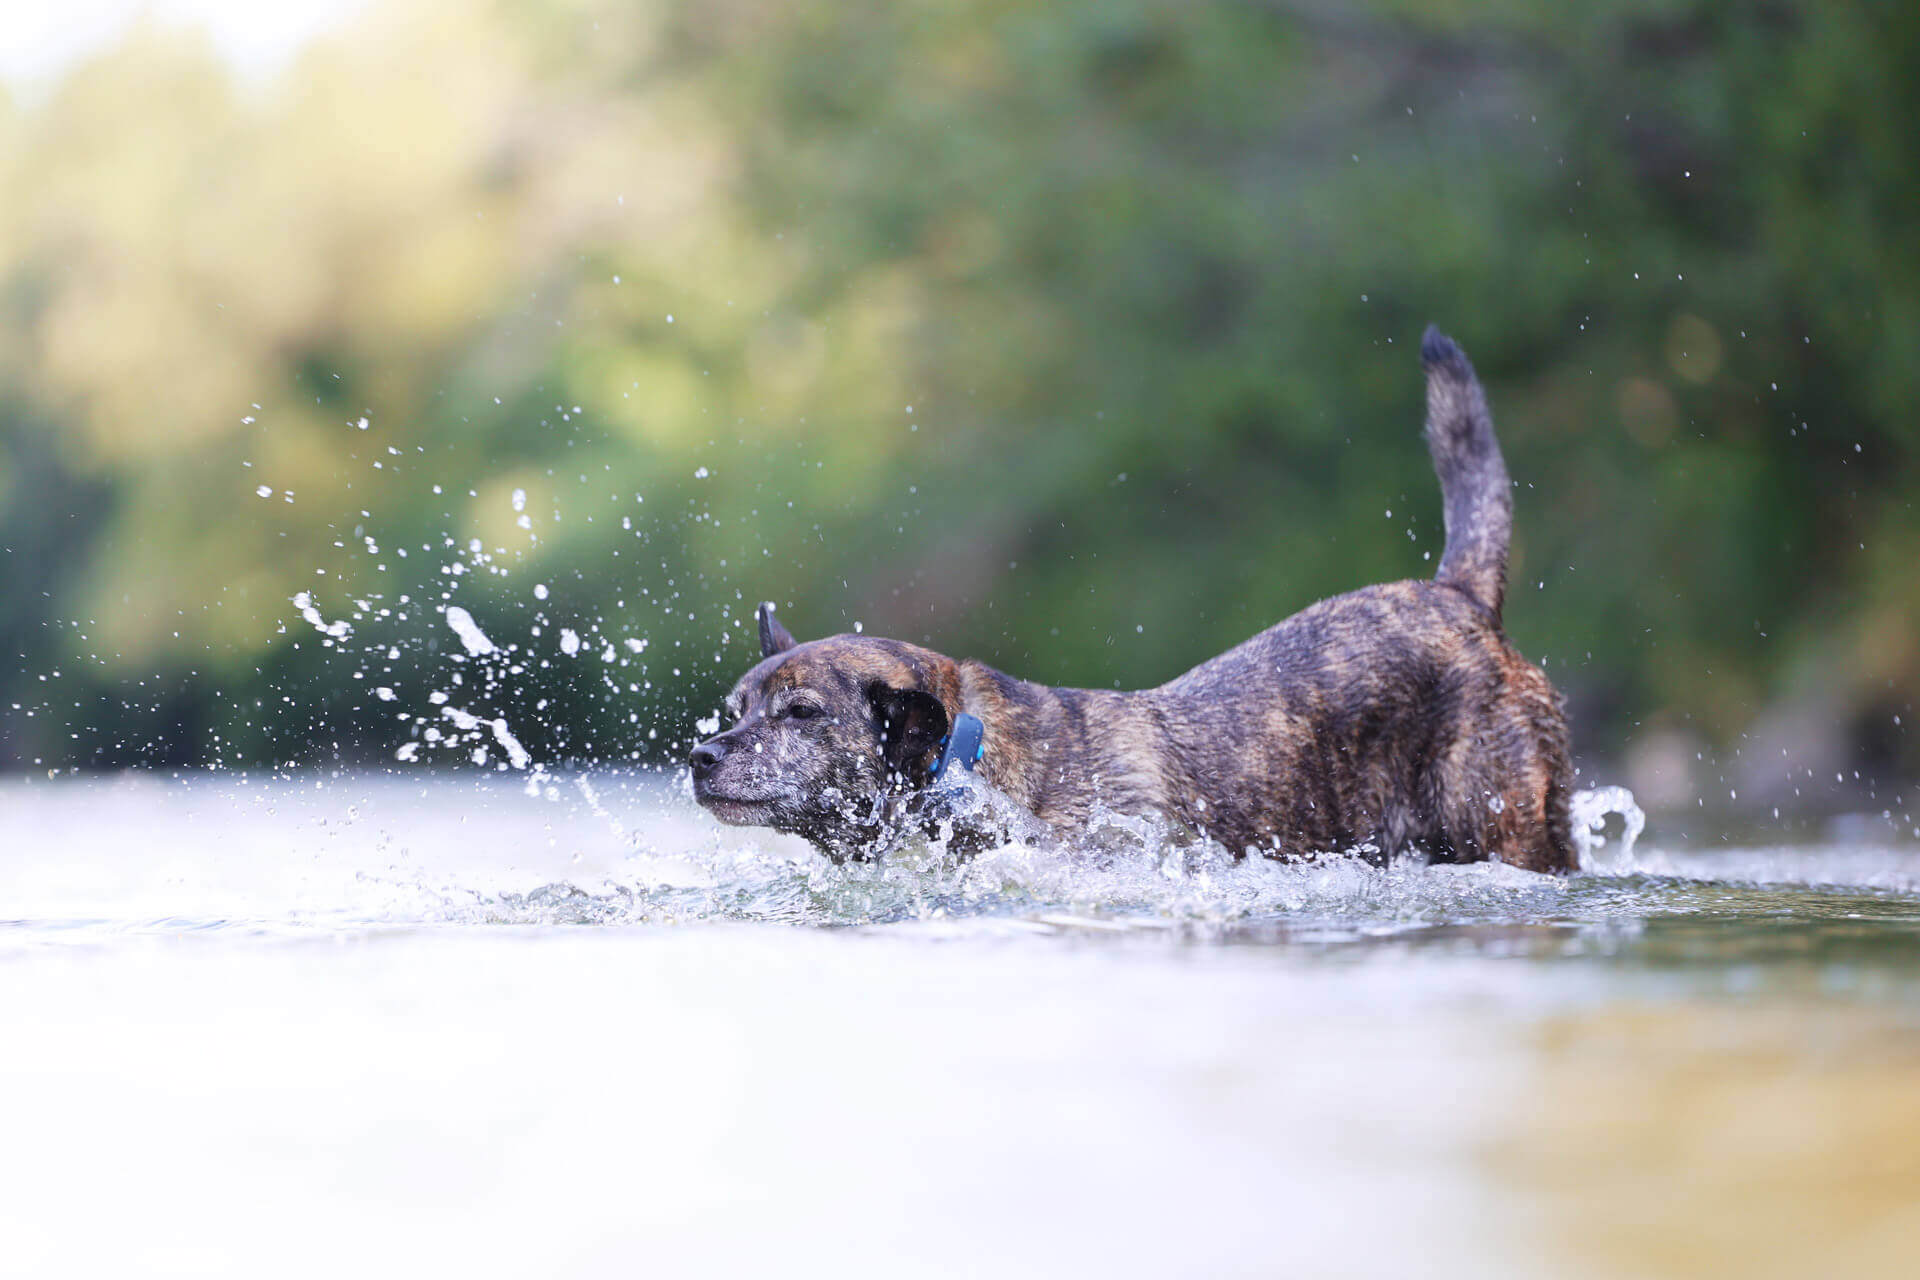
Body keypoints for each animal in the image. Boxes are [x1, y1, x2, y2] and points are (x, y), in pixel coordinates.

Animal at [691, 326, 1574, 875]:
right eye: (732, 710)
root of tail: (1458, 595)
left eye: (801, 714)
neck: (965, 765)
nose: (700, 758)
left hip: (1512, 832)